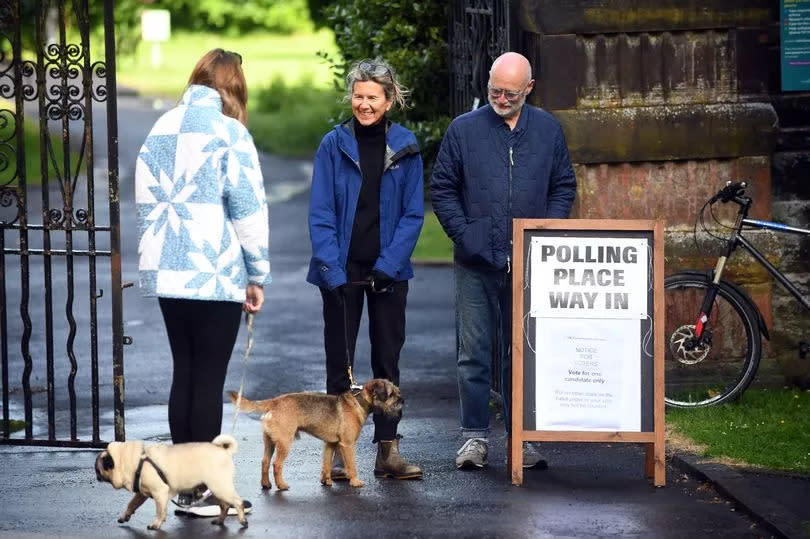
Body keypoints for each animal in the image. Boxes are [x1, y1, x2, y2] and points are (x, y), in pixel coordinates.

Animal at [94, 434, 246, 532]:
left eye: (98, 468)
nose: (96, 475)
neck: (134, 460)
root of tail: (224, 451)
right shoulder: (141, 494)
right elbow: (132, 504)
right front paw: (125, 516)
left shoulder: (160, 492)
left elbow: (160, 510)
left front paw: (156, 524)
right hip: (217, 488)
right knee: (225, 505)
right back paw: (220, 520)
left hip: (219, 486)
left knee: (237, 502)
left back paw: (243, 521)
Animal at [227, 380, 400, 490]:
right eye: (391, 394)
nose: (403, 400)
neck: (358, 402)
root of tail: (274, 401)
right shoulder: (348, 445)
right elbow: (351, 465)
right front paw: (355, 481)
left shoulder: (330, 444)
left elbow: (327, 464)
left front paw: (326, 480)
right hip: (284, 443)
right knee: (276, 464)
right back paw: (281, 485)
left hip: (270, 442)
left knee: (265, 462)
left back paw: (266, 484)